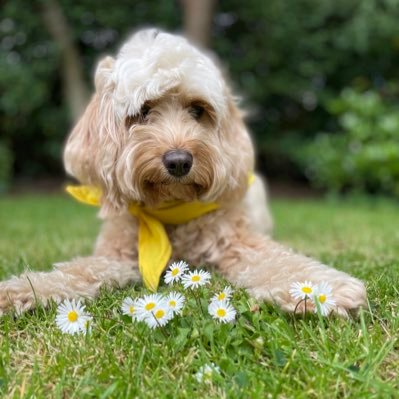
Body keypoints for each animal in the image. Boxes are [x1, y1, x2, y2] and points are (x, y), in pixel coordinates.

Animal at [0, 28, 368, 318]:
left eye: (198, 110)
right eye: (143, 110)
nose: (179, 161)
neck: (169, 211)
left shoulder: (239, 242)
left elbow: (283, 262)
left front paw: (321, 290)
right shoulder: (116, 255)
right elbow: (77, 270)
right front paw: (24, 289)